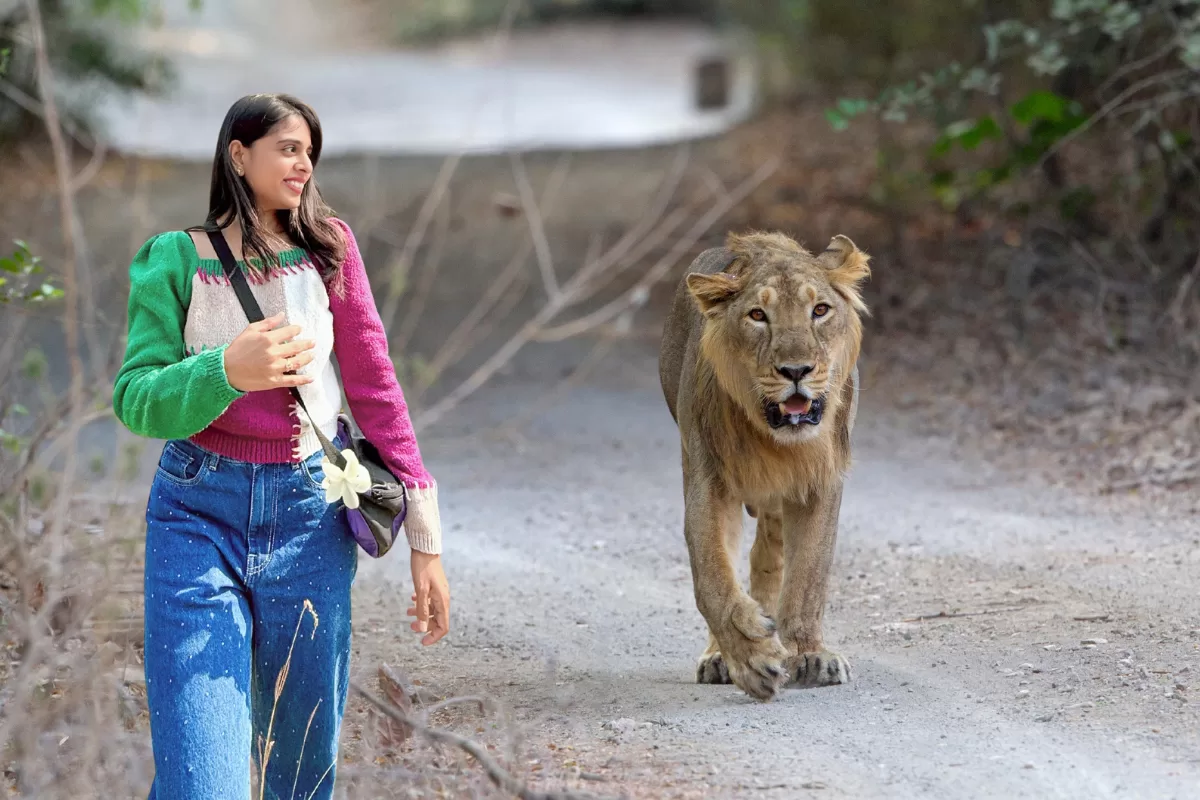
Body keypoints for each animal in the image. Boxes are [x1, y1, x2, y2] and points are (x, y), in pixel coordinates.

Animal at [658, 230, 871, 701]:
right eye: (758, 315)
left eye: (820, 310)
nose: (796, 370)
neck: (776, 441)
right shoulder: (708, 480)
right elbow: (713, 579)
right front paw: (752, 659)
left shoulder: (819, 483)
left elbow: (808, 574)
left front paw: (807, 654)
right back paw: (719, 656)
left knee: (768, 556)